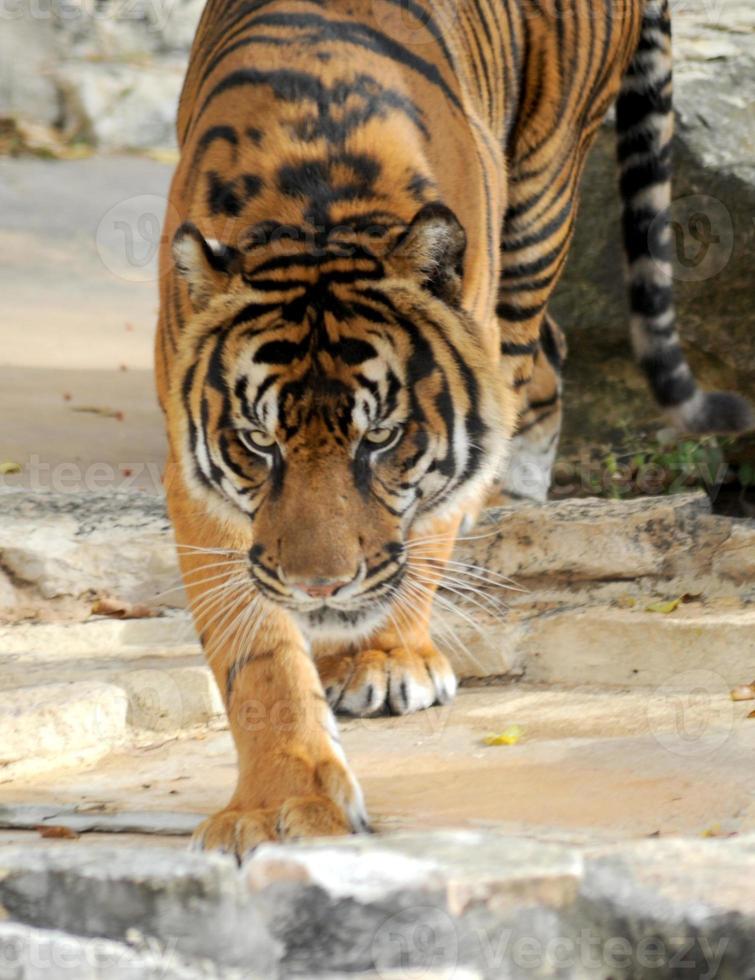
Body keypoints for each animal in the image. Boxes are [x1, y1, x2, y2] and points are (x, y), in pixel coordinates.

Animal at [157, 0, 752, 856]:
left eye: (380, 439)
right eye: (258, 444)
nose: (319, 587)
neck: (312, 212)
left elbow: (421, 538)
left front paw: (385, 659)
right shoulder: (198, 476)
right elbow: (255, 655)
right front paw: (277, 805)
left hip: (539, 208)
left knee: (537, 354)